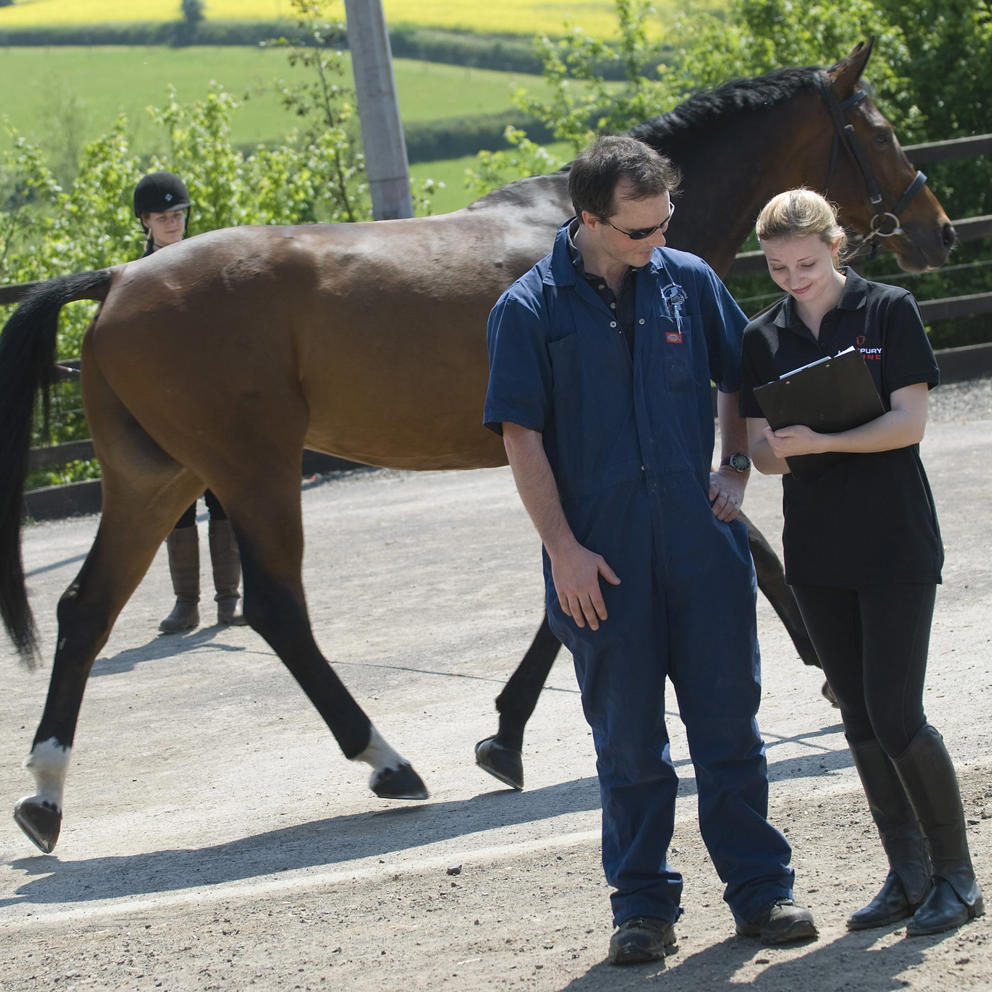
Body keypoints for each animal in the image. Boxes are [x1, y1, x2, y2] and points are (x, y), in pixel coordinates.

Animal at [0, 40, 953, 853]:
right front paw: (824, 673)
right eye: (876, 130)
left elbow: (634, 572)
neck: (595, 248)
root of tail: (120, 278)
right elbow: (690, 559)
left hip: (155, 480)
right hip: (252, 472)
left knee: (85, 608)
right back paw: (386, 762)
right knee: (275, 610)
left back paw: (45, 797)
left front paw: (506, 734)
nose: (937, 229)